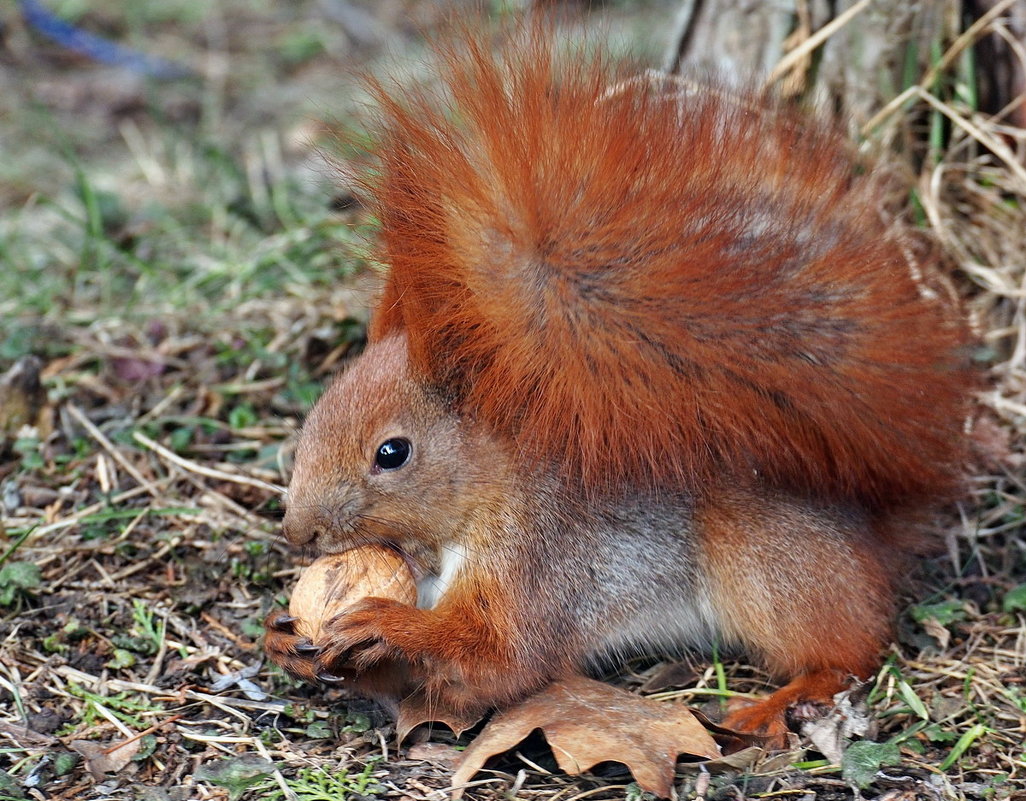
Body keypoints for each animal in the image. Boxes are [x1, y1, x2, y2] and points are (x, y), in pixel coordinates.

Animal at [262, 29, 968, 742]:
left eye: (392, 453)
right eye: (315, 414)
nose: (297, 533)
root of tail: (872, 531)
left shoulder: (544, 559)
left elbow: (500, 658)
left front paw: (390, 624)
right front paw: (284, 635)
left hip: (764, 559)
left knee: (849, 650)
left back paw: (778, 700)